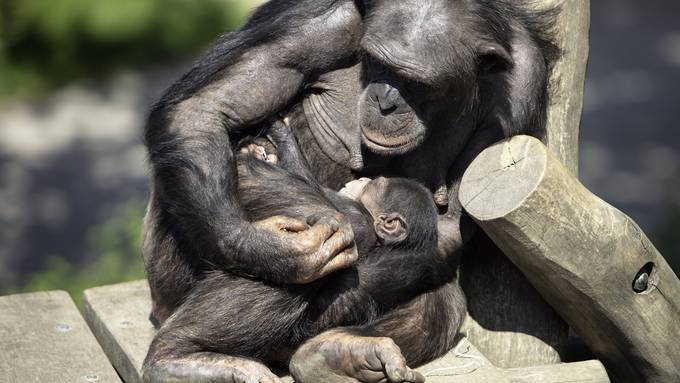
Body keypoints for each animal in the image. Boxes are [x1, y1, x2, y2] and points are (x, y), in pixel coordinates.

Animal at [141, 123, 464, 383]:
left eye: (377, 184)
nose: (360, 181)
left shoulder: (353, 215)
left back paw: (175, 358)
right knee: (446, 299)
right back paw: (341, 355)